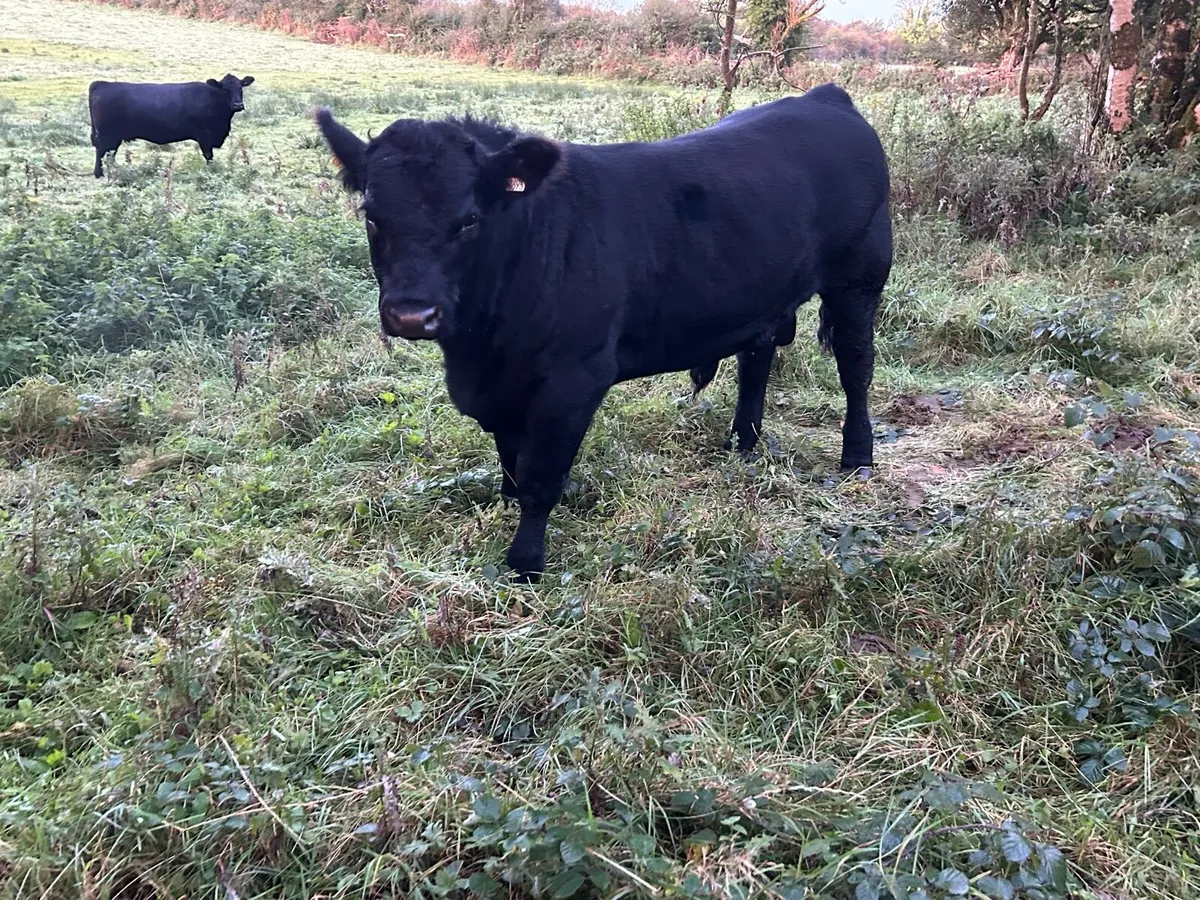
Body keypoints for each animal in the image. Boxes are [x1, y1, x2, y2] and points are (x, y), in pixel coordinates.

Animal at [88, 74, 255, 178]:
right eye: (225, 90)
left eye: (240, 88)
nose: (238, 105)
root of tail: (100, 84)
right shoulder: (204, 135)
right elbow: (209, 156)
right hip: (107, 134)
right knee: (102, 151)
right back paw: (100, 174)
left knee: (109, 154)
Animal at [314, 83, 892, 582]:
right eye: (371, 215)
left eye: (469, 219)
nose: (413, 315)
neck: (480, 347)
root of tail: (824, 98)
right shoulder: (502, 385)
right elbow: (511, 460)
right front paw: (506, 504)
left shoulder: (574, 378)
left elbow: (540, 475)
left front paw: (525, 565)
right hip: (765, 295)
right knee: (757, 361)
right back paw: (741, 444)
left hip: (858, 280)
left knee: (856, 368)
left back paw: (857, 457)